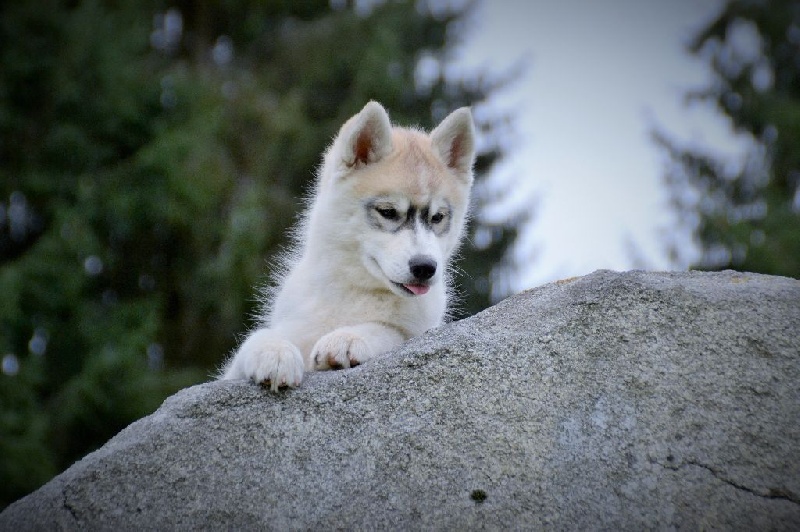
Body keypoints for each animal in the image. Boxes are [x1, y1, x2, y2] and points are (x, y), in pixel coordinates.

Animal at [220, 101, 475, 390]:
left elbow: (388, 331)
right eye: (388, 212)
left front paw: (347, 338)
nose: (425, 267)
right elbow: (255, 340)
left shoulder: (419, 331)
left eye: (437, 217)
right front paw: (274, 353)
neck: (357, 291)